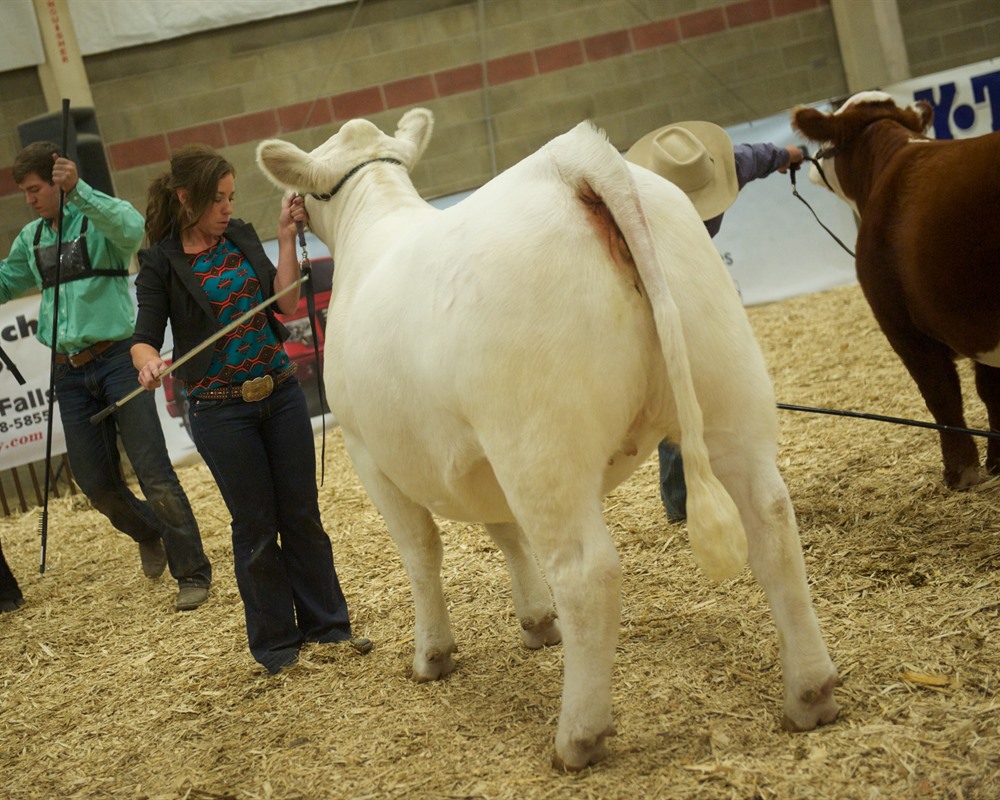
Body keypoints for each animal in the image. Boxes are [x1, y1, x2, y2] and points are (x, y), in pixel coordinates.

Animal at [256, 109, 836, 772]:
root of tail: (572, 160)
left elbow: (421, 553)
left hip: (540, 443)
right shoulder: (480, 461)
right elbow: (506, 532)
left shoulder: (368, 453)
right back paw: (810, 691)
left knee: (588, 573)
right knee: (770, 519)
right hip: (726, 386)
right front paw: (535, 621)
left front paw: (432, 655)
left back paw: (578, 736)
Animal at [792, 97, 1000, 490]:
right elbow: (990, 391)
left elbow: (941, 394)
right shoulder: (974, 329)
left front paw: (960, 472)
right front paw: (996, 462)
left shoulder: (900, 324)